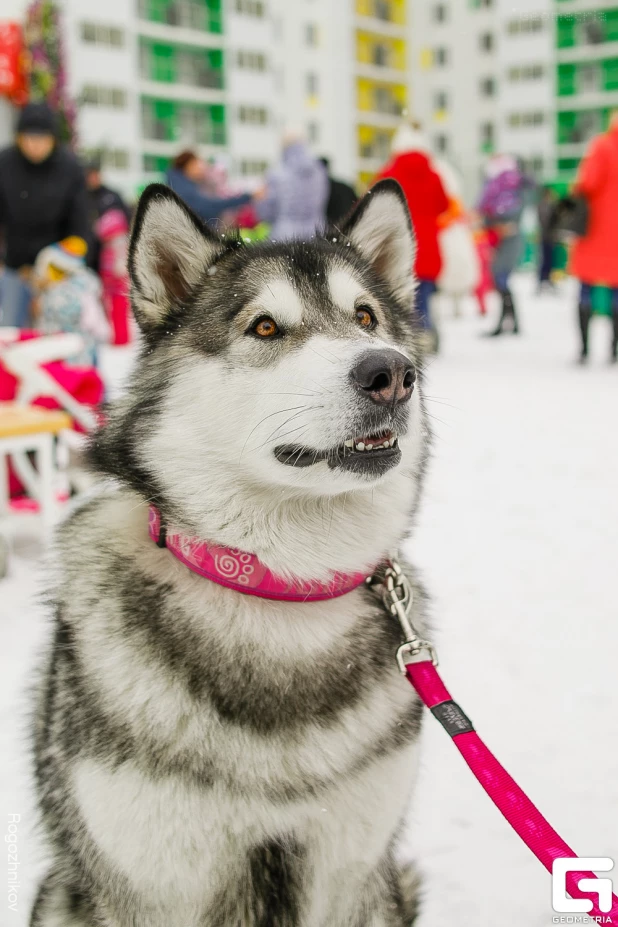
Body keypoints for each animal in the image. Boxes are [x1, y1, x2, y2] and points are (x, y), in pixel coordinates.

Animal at [31, 178, 430, 924]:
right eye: (265, 328)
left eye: (366, 318)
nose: (392, 371)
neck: (276, 586)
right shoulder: (144, 882)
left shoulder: (354, 873)